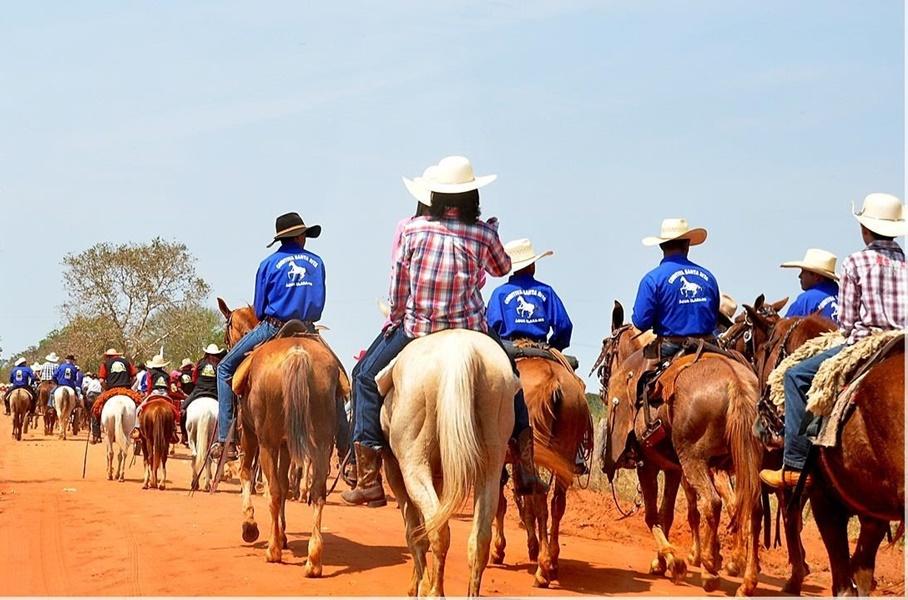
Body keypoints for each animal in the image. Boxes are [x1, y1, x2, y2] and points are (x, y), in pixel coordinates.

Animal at [218, 298, 342, 576]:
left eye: (226, 330)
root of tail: (297, 353)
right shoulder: (286, 445)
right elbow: (285, 485)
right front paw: (282, 534)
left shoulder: (250, 434)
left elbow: (247, 473)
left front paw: (250, 526)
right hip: (321, 443)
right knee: (316, 491)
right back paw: (313, 560)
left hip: (266, 442)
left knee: (273, 489)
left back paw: (273, 550)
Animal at [376, 330, 516, 596]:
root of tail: (461, 351)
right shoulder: (440, 476)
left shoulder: (394, 470)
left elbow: (414, 531)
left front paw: (418, 586)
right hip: (492, 461)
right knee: (479, 537)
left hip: (414, 463)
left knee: (438, 530)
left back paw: (434, 591)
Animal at [494, 354, 592, 588]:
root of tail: (552, 382)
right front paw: (532, 545)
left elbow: (503, 503)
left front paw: (499, 549)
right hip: (563, 453)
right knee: (557, 504)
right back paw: (552, 561)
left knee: (540, 501)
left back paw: (542, 568)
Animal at [600, 302, 764, 596]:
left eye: (607, 347)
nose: (602, 387)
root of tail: (735, 382)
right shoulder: (673, 469)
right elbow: (666, 514)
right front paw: (663, 560)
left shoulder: (649, 465)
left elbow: (653, 514)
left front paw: (672, 560)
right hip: (744, 461)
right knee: (752, 508)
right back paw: (746, 580)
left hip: (695, 460)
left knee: (712, 503)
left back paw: (710, 568)